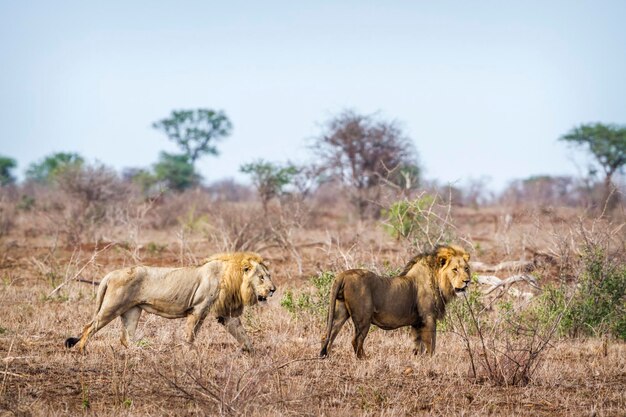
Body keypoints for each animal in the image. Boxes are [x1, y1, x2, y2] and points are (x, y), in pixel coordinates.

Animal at [64, 252, 276, 352]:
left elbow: (243, 335)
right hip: (112, 307)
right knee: (89, 327)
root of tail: (109, 274)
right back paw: (82, 350)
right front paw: (189, 352)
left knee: (125, 337)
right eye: (261, 277)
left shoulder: (227, 314)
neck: (234, 279)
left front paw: (253, 353)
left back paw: (140, 351)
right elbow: (191, 334)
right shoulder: (198, 310)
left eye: (269, 275)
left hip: (132, 311)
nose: (273, 290)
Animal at [320, 244, 470, 358]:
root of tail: (343, 275)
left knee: (329, 334)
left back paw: (325, 356)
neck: (438, 281)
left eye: (466, 268)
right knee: (356, 340)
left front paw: (418, 359)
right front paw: (431, 360)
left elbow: (418, 344)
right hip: (363, 318)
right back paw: (365, 359)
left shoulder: (417, 322)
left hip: (340, 312)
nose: (467, 281)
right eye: (455, 269)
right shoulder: (428, 317)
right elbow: (431, 343)